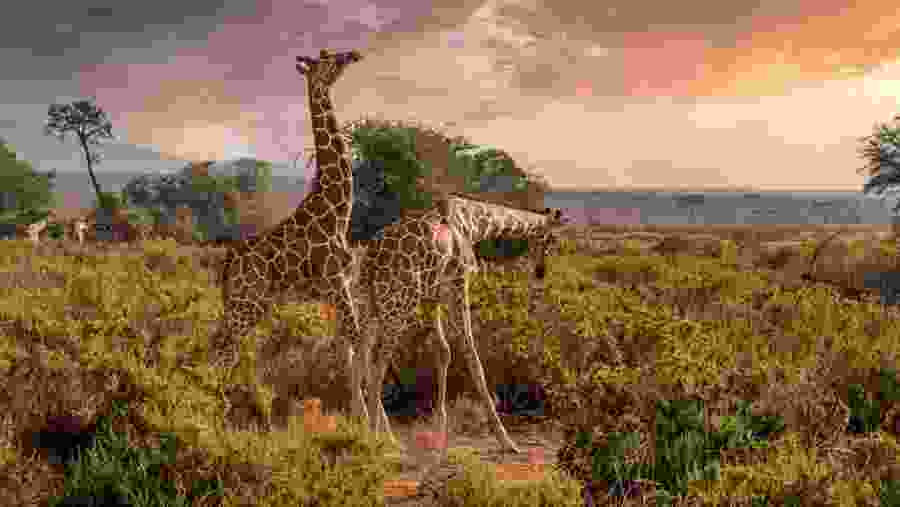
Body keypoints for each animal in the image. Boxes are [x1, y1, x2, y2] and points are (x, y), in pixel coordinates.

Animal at [210, 48, 367, 419]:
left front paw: (361, 420)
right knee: (223, 349)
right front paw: (372, 424)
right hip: (247, 303)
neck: (338, 210)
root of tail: (229, 261)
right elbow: (355, 339)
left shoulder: (339, 287)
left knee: (223, 346)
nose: (352, 54)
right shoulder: (335, 283)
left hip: (245, 303)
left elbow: (347, 347)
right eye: (327, 58)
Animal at [349, 194, 564, 454]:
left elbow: (443, 351)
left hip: (369, 302)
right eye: (552, 239)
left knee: (359, 356)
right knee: (378, 363)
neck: (473, 223)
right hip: (398, 303)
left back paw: (357, 430)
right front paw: (506, 440)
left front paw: (439, 430)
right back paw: (377, 437)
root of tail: (371, 258)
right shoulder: (460, 282)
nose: (541, 271)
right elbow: (472, 357)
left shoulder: (432, 296)